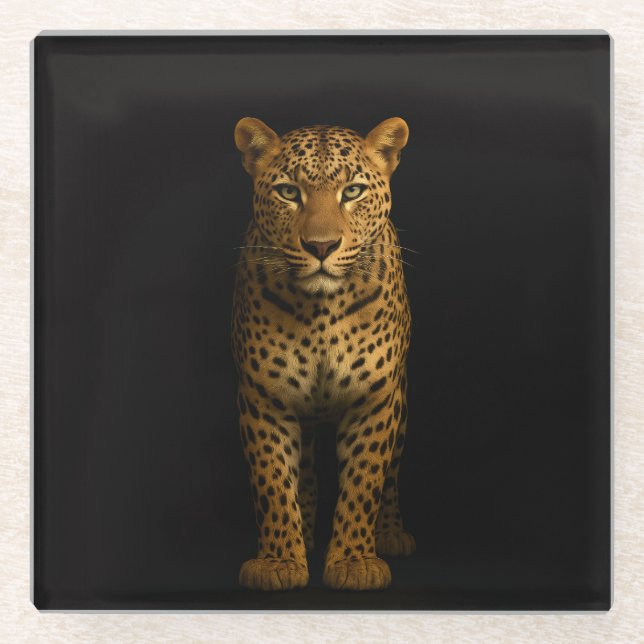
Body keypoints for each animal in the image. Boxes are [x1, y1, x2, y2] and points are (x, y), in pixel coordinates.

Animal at [231, 116, 414, 592]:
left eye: (352, 191)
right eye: (287, 192)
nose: (320, 247)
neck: (320, 313)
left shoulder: (375, 400)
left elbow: (365, 482)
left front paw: (354, 562)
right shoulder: (264, 398)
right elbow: (274, 482)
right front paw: (279, 562)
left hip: (401, 402)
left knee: (391, 474)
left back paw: (391, 534)